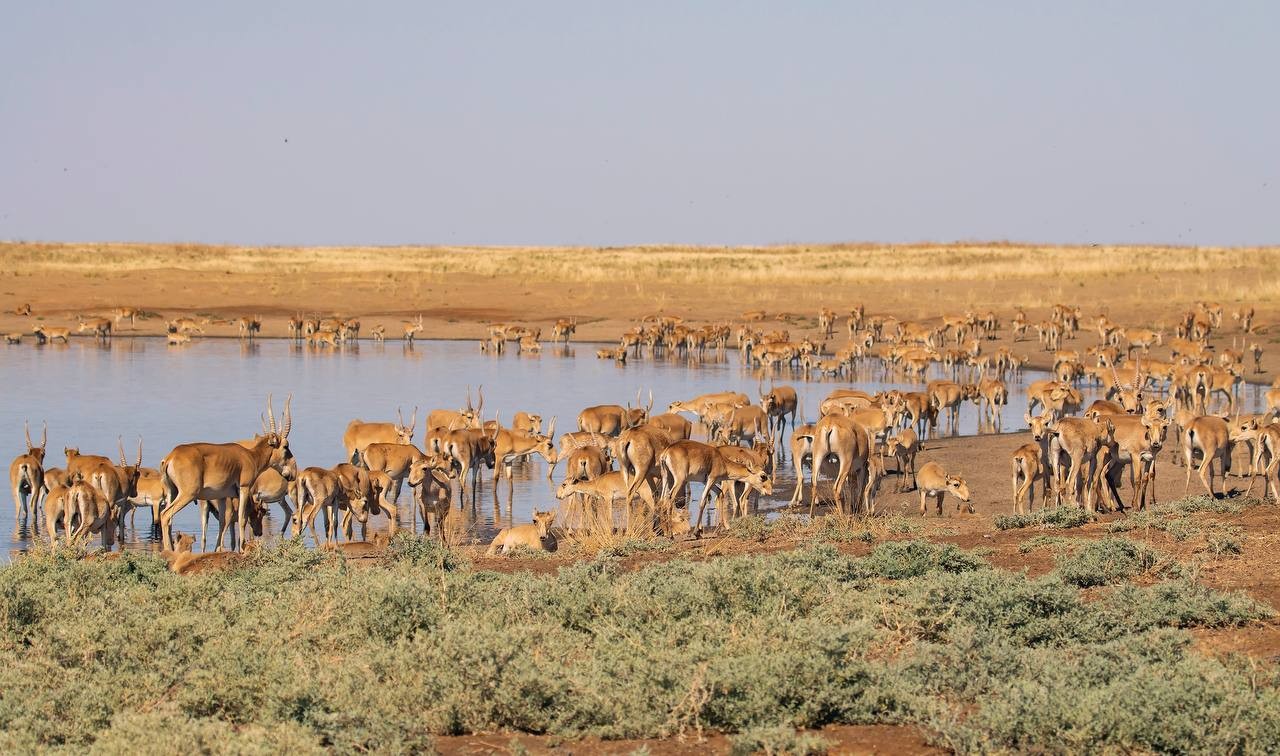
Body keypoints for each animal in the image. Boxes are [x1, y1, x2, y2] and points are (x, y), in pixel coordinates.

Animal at [157, 396, 293, 550]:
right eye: (285, 446)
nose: (289, 474)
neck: (250, 456)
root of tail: (171, 456)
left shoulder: (222, 496)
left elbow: (222, 523)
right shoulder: (244, 489)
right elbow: (242, 518)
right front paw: (242, 547)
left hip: (172, 493)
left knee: (169, 520)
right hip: (187, 494)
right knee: (165, 515)